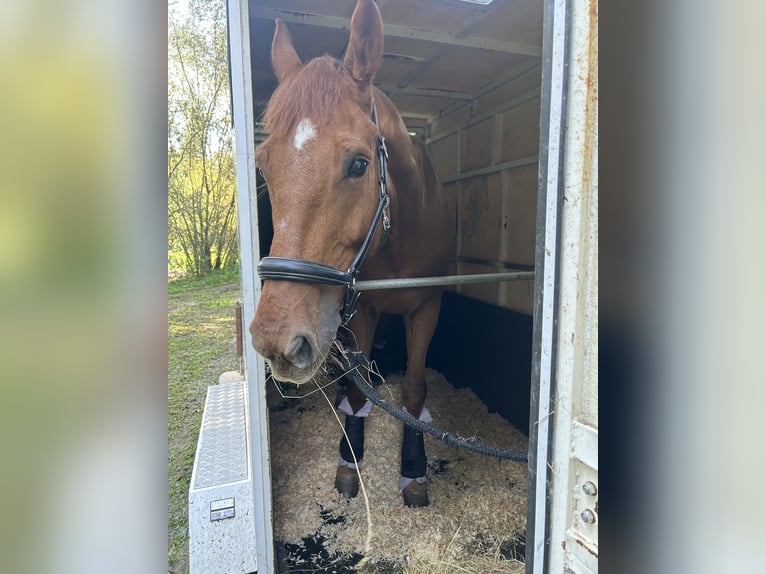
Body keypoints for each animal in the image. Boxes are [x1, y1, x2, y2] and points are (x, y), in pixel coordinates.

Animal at [252, 0, 456, 508]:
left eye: (359, 164)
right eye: (263, 164)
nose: (276, 339)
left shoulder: (428, 306)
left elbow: (415, 389)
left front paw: (414, 470)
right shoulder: (361, 309)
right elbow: (360, 389)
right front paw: (349, 459)